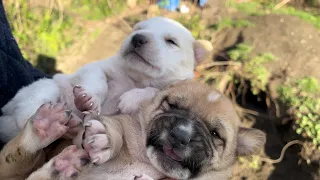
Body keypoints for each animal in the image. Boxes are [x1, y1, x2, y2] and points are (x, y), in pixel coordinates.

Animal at [0, 16, 212, 143]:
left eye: (171, 41)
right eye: (138, 29)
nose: (137, 38)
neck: (136, 77)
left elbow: (156, 90)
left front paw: (131, 98)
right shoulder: (98, 67)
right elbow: (97, 81)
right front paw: (87, 99)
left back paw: (70, 126)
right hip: (44, 87)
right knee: (26, 113)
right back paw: (49, 120)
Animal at [0, 80, 266, 180]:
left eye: (215, 134)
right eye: (172, 105)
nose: (180, 135)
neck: (148, 164)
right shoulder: (121, 126)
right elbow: (115, 127)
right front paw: (105, 139)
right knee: (16, 156)